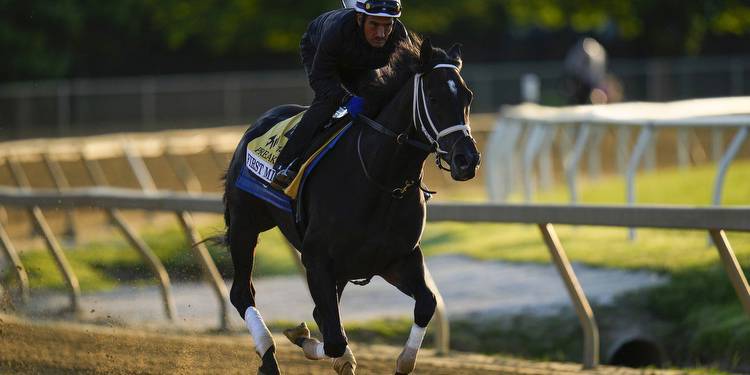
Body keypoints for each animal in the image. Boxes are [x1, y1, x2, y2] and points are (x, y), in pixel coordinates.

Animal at [222, 35, 482, 375]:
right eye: (434, 97)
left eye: (467, 97)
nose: (467, 160)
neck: (380, 178)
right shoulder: (317, 259)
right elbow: (334, 338)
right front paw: (312, 343)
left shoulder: (397, 258)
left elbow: (426, 304)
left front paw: (399, 361)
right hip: (245, 224)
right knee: (242, 293)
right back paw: (268, 356)